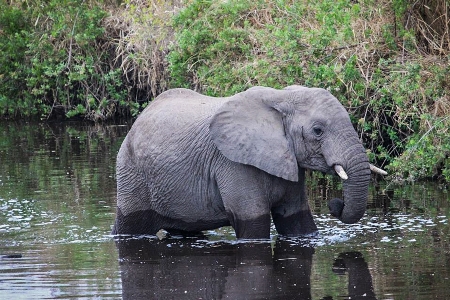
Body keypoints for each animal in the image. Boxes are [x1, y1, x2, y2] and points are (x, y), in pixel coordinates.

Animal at [111, 85, 384, 238]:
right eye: (318, 131)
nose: (334, 204)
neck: (281, 99)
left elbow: (297, 222)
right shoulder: (233, 164)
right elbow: (253, 225)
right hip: (131, 173)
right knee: (129, 226)